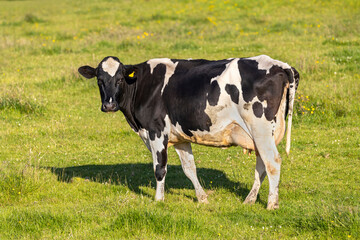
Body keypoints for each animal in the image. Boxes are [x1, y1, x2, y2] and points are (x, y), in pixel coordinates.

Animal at [79, 55, 300, 209]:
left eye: (119, 79)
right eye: (99, 80)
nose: (109, 105)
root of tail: (279, 65)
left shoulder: (156, 131)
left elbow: (160, 168)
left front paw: (158, 200)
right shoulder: (180, 138)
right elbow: (189, 168)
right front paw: (202, 198)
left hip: (260, 128)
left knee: (272, 163)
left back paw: (271, 204)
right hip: (260, 134)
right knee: (262, 165)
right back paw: (250, 200)